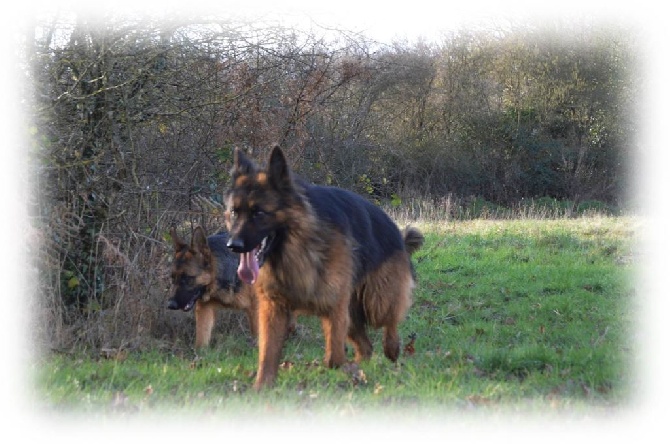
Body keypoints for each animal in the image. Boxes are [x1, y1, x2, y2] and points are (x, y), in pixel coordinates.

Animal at [226, 146, 426, 388]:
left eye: (259, 213)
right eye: (234, 212)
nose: (233, 245)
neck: (297, 248)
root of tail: (396, 233)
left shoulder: (335, 306)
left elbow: (333, 358)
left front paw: (340, 368)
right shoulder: (273, 309)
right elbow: (267, 355)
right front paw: (261, 387)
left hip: (376, 301)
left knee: (390, 321)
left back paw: (392, 349)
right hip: (352, 315)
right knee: (366, 348)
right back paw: (359, 367)